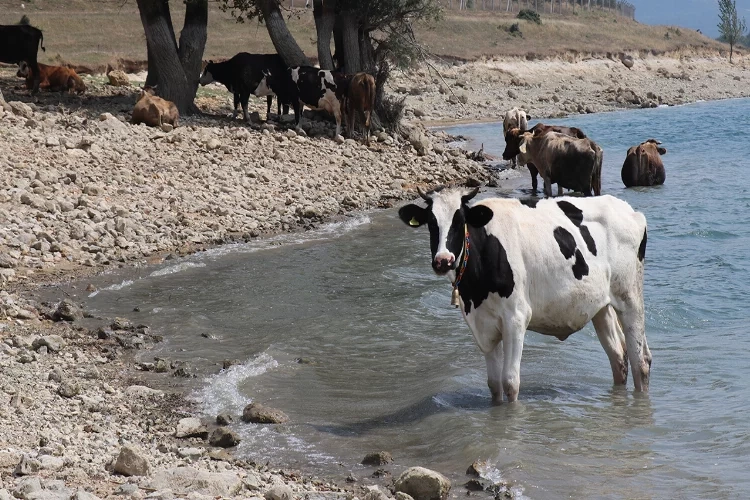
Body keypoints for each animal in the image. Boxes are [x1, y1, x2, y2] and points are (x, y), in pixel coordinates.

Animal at [400, 187, 652, 402]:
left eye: (460, 220)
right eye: (431, 223)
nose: (443, 260)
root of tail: (630, 210)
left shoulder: (516, 317)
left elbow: (510, 381)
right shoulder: (482, 324)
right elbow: (494, 384)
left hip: (630, 297)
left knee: (640, 361)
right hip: (600, 306)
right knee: (618, 357)